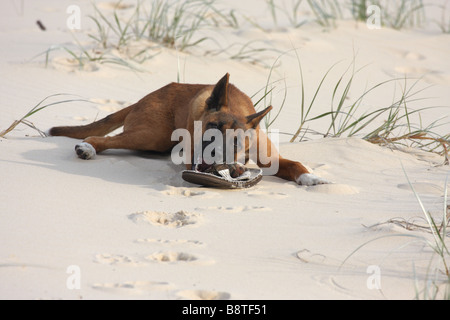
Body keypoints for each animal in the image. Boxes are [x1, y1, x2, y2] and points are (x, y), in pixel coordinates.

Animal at [49, 74, 328, 186]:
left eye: (236, 141)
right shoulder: (191, 157)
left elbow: (294, 164)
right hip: (153, 136)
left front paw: (310, 177)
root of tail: (141, 100)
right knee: (105, 138)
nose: (214, 157)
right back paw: (88, 147)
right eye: (212, 127)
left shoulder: (270, 158)